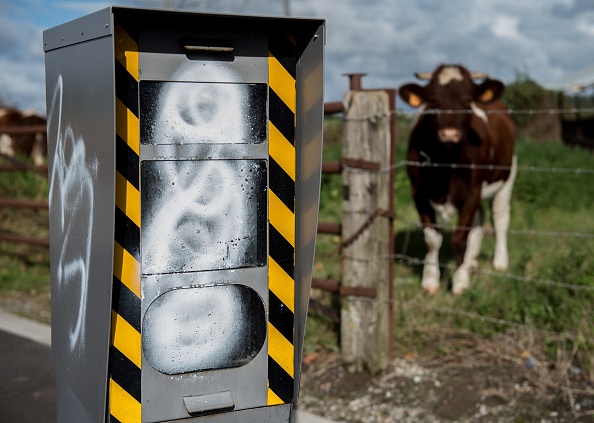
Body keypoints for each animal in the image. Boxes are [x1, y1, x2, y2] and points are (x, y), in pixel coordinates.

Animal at [398, 63, 512, 294]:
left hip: (507, 178)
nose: (450, 134)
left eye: (467, 102)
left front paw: (460, 282)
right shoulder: (418, 193)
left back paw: (499, 262)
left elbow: (460, 238)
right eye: (433, 101)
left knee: (499, 219)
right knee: (479, 220)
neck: (445, 164)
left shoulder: (472, 192)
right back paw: (472, 260)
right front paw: (430, 280)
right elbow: (432, 239)